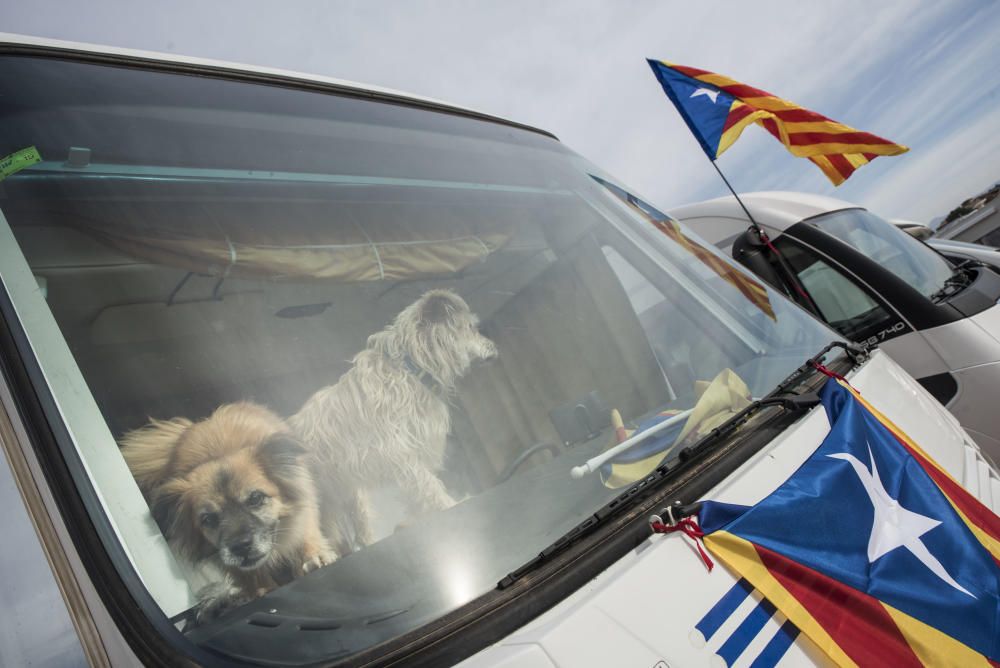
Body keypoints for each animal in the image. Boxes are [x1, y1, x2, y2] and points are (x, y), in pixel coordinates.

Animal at [120, 402, 340, 628]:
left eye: (255, 498)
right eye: (208, 519)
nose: (241, 546)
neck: (219, 454)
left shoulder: (302, 512)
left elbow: (306, 535)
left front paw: (314, 555)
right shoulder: (226, 559)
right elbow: (250, 576)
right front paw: (260, 589)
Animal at [290, 290, 496, 552]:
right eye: (470, 327)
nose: (494, 346)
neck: (412, 370)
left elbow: (420, 492)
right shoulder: (400, 453)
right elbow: (428, 485)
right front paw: (451, 505)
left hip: (350, 494)